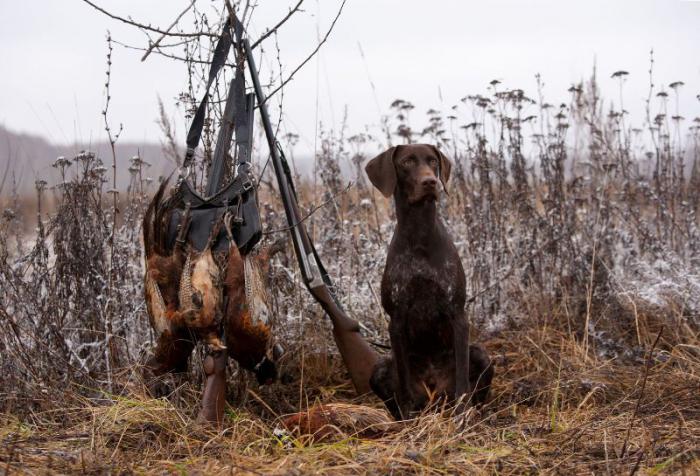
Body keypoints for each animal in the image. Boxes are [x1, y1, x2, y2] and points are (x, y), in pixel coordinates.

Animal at [366, 143, 492, 418]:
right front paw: (408, 419)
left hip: (481, 354)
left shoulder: (457, 314)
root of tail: (434, 394)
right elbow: (403, 385)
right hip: (379, 367)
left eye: (433, 161)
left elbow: (462, 381)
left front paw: (463, 416)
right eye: (406, 162)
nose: (430, 182)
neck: (420, 234)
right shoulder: (396, 320)